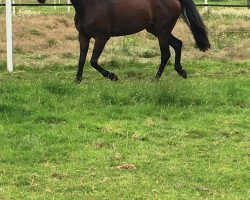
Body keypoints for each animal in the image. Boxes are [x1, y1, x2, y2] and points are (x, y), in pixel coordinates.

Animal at [37, 0, 210, 83]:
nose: (40, 0)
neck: (90, 5)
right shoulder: (83, 36)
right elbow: (81, 59)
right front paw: (77, 80)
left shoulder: (102, 37)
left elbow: (93, 61)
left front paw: (113, 76)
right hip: (156, 30)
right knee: (178, 44)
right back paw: (181, 71)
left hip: (162, 31)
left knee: (166, 54)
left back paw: (155, 79)